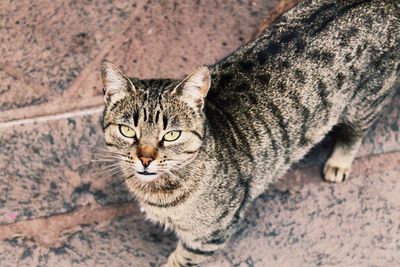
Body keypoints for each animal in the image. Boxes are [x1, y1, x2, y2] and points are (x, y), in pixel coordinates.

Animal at [101, 1, 400, 266]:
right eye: (127, 131)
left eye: (172, 135)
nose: (145, 159)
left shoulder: (208, 238)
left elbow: (180, 261)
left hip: (367, 100)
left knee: (356, 130)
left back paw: (339, 162)